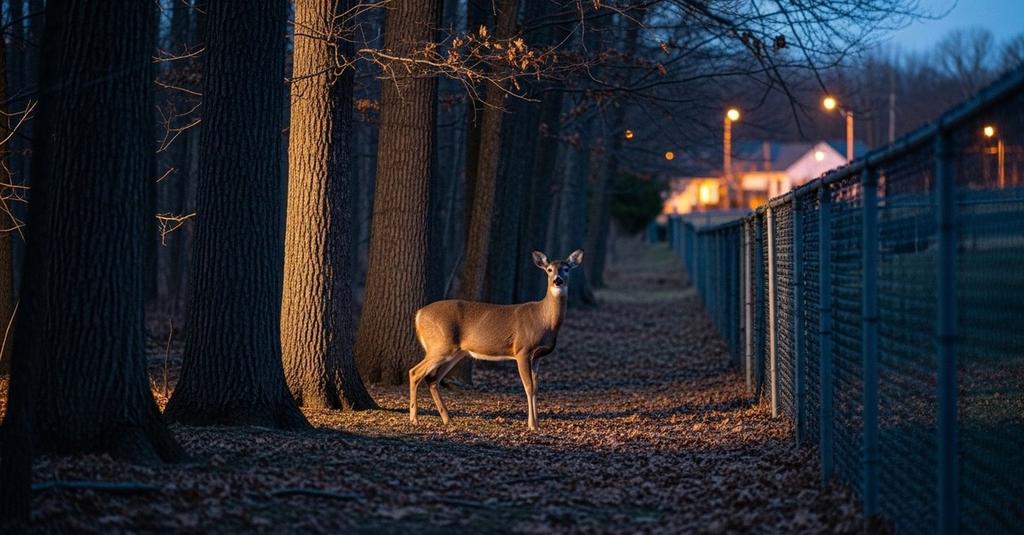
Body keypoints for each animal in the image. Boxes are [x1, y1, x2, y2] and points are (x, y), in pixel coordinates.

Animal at [409, 249, 584, 431]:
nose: (558, 280)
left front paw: (537, 423)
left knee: (432, 379)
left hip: (455, 352)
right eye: (549, 270)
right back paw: (414, 418)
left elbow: (536, 388)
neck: (545, 320)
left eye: (566, 268)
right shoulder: (522, 350)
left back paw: (447, 419)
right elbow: (528, 387)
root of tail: (418, 314)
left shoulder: (538, 356)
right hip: (440, 345)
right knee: (415, 372)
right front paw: (532, 425)